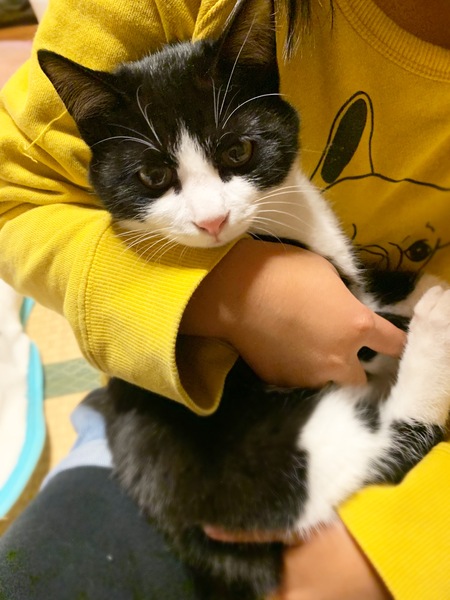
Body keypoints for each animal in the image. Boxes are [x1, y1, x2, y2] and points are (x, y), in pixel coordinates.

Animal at [38, 0, 450, 598]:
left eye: (238, 149)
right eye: (154, 174)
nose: (212, 220)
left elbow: (382, 281)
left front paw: (424, 282)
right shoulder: (345, 323)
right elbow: (372, 322)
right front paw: (430, 303)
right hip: (255, 465)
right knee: (387, 439)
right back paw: (437, 331)